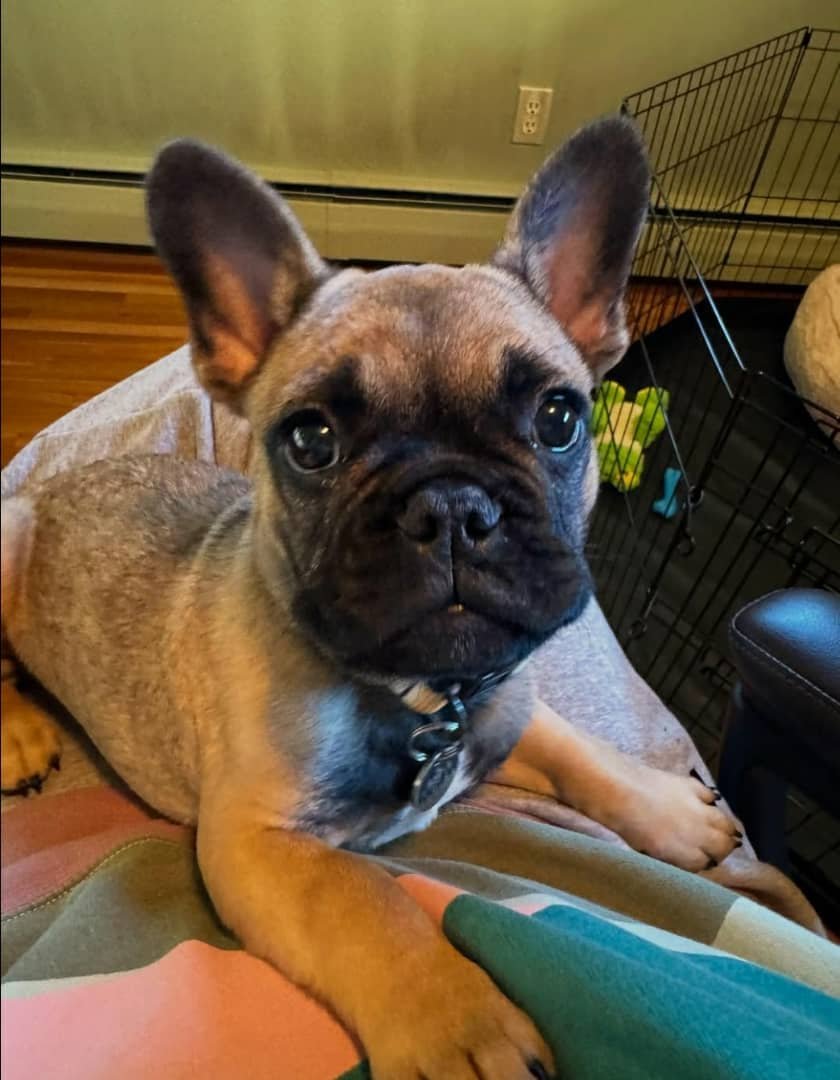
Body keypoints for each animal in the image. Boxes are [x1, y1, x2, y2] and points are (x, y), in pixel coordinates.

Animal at [1, 116, 740, 1079]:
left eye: (558, 418)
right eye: (311, 440)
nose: (452, 506)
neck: (424, 695)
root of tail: (46, 487)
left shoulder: (510, 702)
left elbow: (583, 752)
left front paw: (669, 813)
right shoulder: (258, 844)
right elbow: (364, 902)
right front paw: (460, 1024)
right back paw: (18, 733)